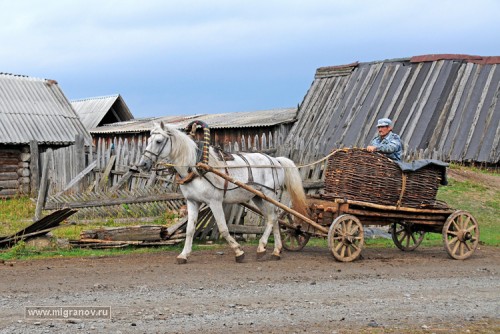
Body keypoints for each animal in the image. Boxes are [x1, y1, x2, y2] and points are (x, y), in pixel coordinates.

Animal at [138, 122, 308, 264]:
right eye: (148, 140)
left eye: (159, 141)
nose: (143, 164)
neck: (196, 167)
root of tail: (275, 161)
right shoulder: (192, 202)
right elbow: (190, 230)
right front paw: (183, 255)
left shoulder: (215, 202)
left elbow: (223, 228)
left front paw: (238, 252)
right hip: (258, 197)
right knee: (274, 219)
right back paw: (276, 251)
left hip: (269, 194)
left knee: (272, 218)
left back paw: (261, 248)